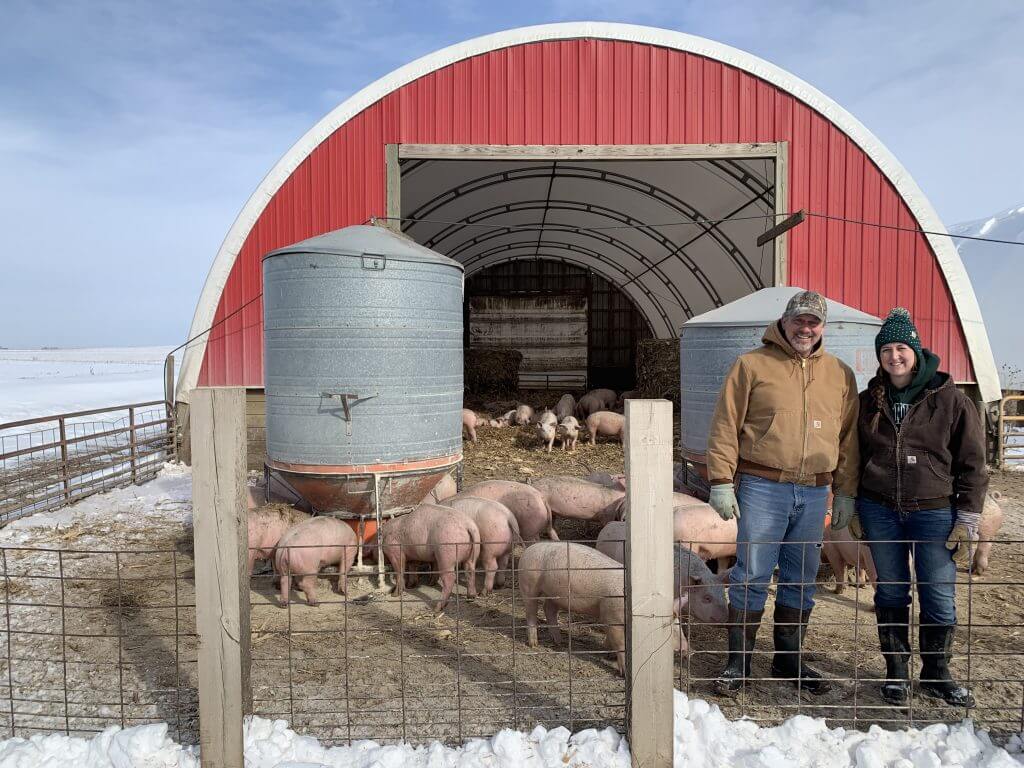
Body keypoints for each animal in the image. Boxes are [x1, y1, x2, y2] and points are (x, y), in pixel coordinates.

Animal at [518, 542, 628, 675]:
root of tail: (528, 549)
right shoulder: (613, 616)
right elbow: (620, 643)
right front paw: (624, 672)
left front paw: (608, 654)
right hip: (528, 584)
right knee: (531, 612)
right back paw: (534, 644)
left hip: (555, 594)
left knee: (549, 609)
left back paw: (558, 641)